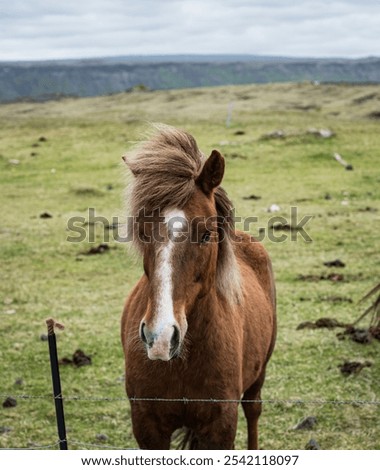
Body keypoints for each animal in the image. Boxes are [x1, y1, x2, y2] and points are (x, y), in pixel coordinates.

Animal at [121, 126, 276, 450]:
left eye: (206, 234)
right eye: (142, 231)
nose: (159, 337)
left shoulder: (220, 427)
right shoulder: (147, 427)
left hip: (258, 378)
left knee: (254, 411)